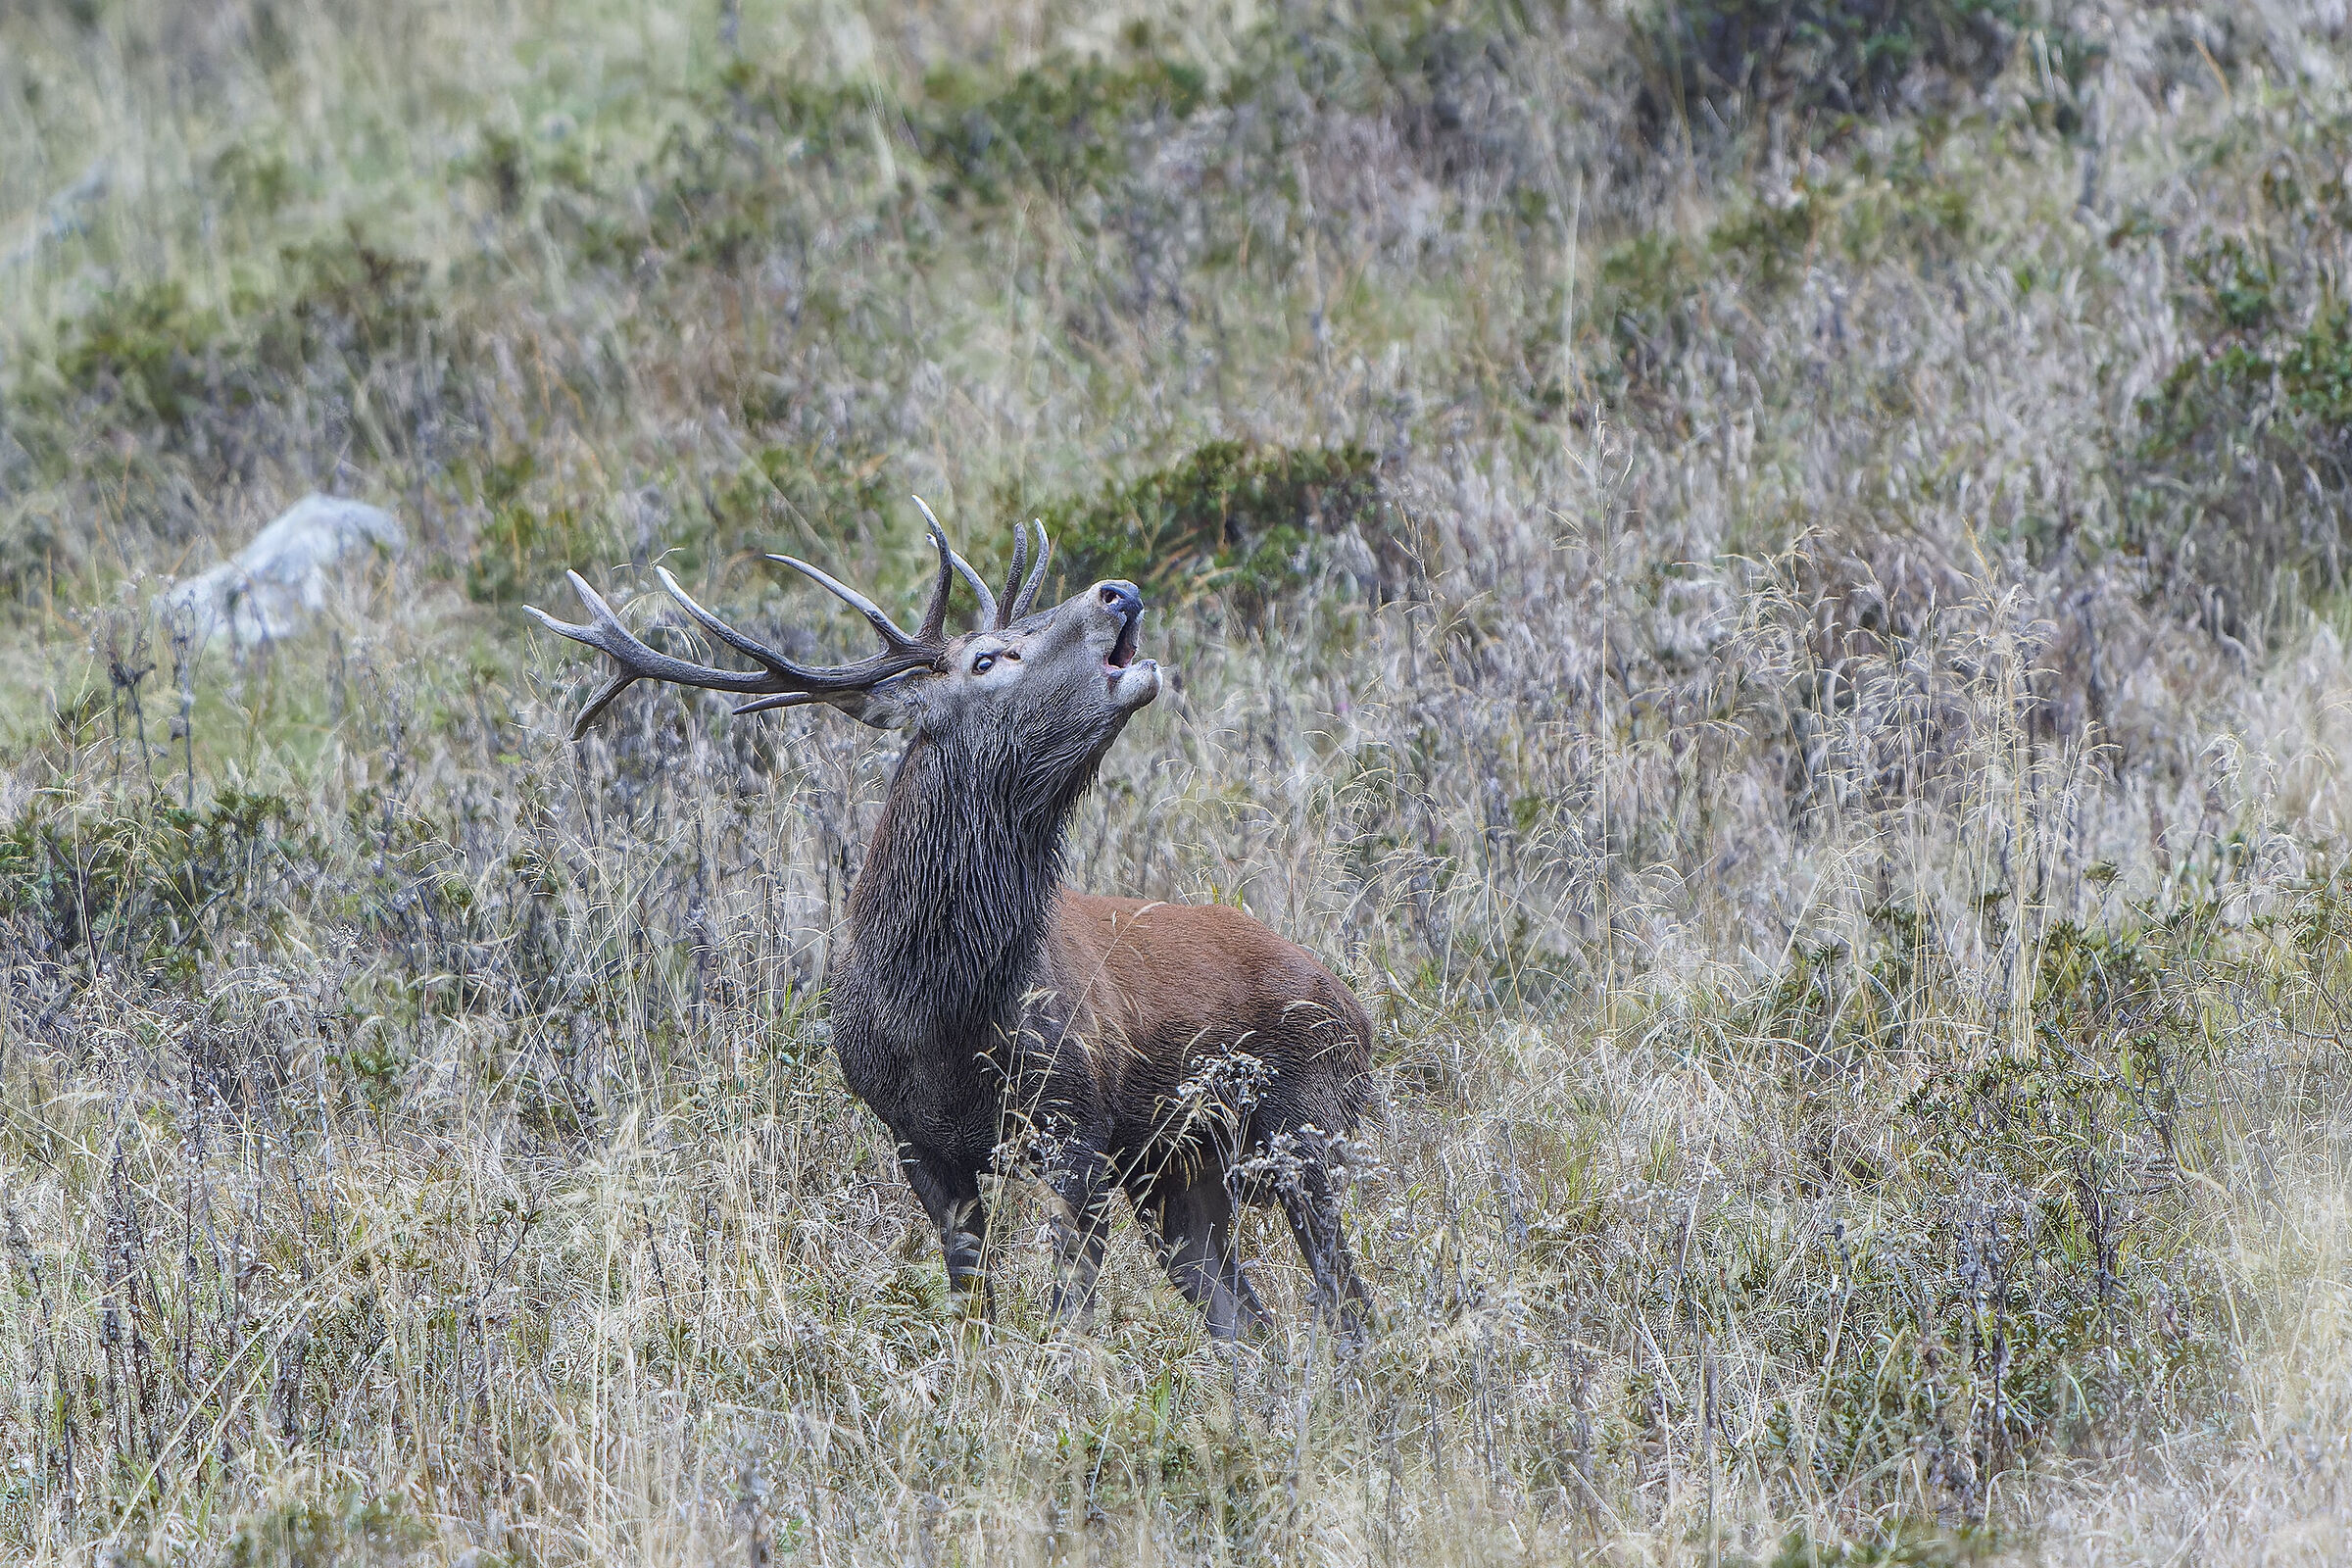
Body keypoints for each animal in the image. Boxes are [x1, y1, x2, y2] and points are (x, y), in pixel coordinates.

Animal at [527, 506, 1374, 1340]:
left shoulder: (1074, 1130)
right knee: (1250, 1323)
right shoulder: (918, 1143)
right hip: (1183, 1172)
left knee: (1348, 1306)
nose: (1118, 591)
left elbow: (1069, 1316)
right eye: (988, 659)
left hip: (1307, 1129)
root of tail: (1358, 1010)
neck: (940, 1016)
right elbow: (972, 1307)